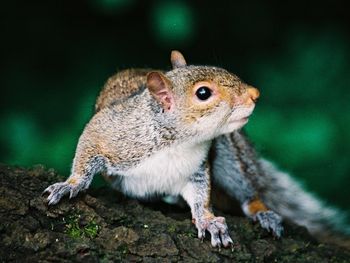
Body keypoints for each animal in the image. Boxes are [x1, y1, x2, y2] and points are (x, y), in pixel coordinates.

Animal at [44, 50, 350, 249]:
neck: (178, 142)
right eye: (203, 93)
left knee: (246, 188)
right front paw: (70, 184)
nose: (255, 94)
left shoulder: (196, 169)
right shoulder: (111, 132)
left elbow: (201, 196)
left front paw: (208, 221)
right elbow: (87, 148)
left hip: (230, 154)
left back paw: (261, 211)